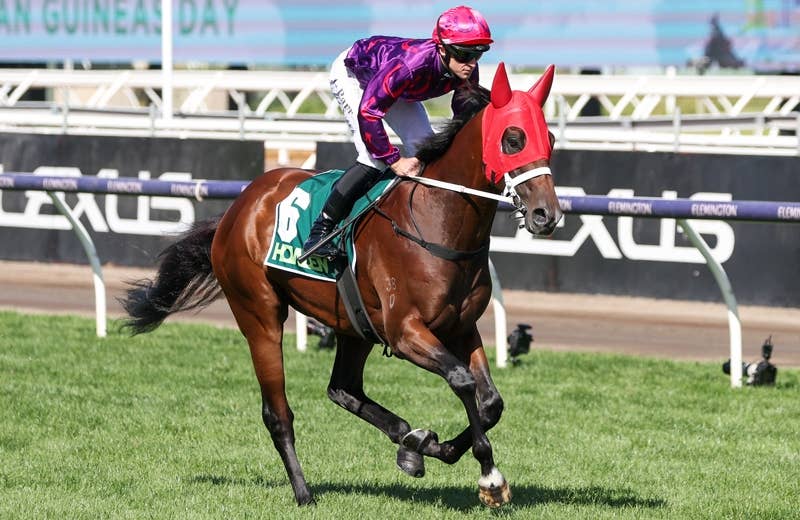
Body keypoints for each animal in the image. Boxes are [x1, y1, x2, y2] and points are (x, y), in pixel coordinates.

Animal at [121, 62, 562, 508]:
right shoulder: (405, 332)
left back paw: (409, 439)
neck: (436, 219)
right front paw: (489, 476)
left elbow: (490, 402)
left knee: (343, 389)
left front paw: (431, 447)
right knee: (278, 414)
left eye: (551, 139)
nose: (547, 215)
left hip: (354, 323)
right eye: (513, 139)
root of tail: (239, 206)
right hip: (259, 315)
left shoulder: (460, 326)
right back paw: (304, 492)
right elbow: (463, 381)